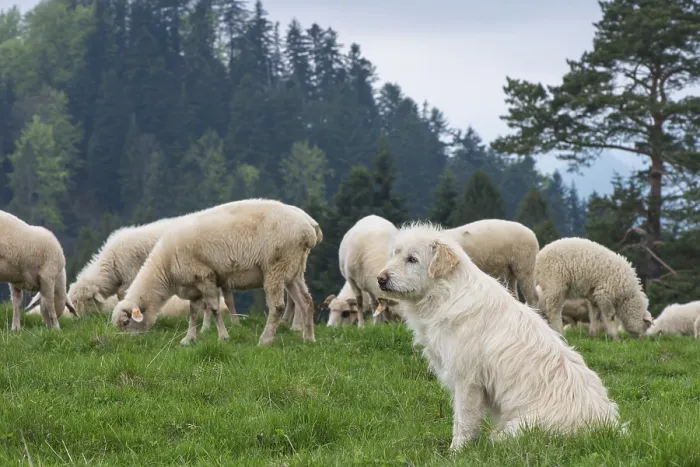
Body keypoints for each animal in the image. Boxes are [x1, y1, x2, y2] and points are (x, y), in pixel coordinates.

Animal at [111, 199, 319, 346]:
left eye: (126, 323)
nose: (126, 343)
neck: (165, 269)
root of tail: (308, 228)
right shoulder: (193, 286)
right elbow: (193, 313)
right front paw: (188, 339)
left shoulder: (205, 276)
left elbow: (214, 308)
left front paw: (223, 337)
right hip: (293, 269)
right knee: (306, 301)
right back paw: (309, 338)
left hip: (275, 267)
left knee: (277, 307)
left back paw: (265, 340)